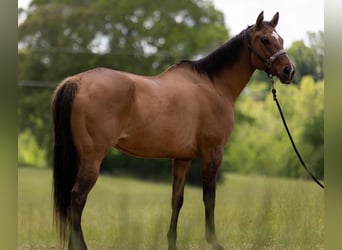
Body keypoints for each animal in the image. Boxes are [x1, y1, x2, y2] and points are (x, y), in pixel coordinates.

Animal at [50, 11, 294, 250]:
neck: (214, 86)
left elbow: (177, 199)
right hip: (92, 158)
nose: (289, 71)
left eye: (281, 39)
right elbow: (209, 198)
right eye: (265, 40)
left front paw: (172, 242)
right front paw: (213, 241)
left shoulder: (182, 158)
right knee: (77, 199)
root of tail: (77, 81)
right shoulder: (213, 153)